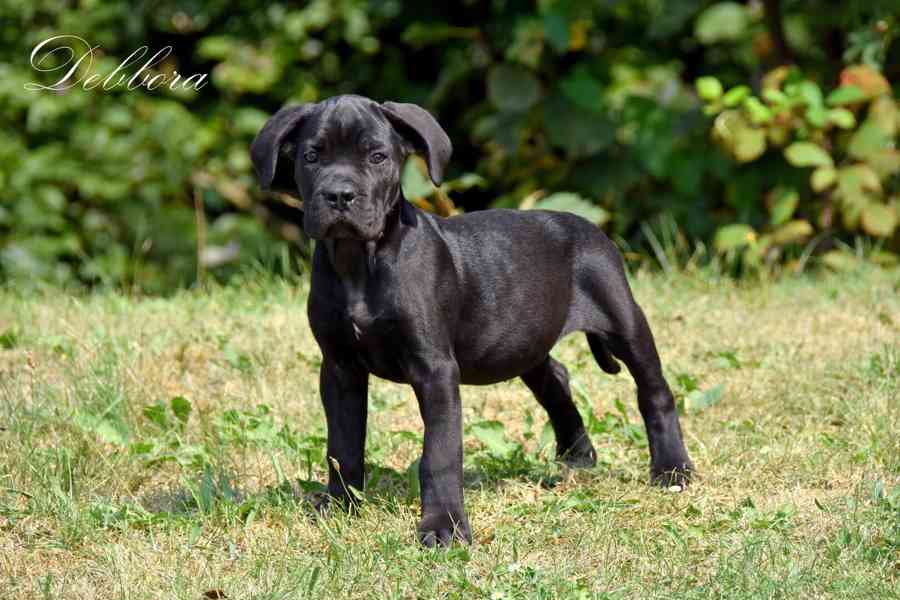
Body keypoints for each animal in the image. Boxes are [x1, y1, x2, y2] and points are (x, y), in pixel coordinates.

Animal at [250, 95, 692, 548]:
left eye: (377, 157)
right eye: (311, 156)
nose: (339, 195)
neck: (358, 262)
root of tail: (590, 227)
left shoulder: (435, 370)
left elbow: (440, 454)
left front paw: (444, 526)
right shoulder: (340, 369)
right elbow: (342, 445)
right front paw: (340, 505)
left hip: (623, 320)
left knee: (654, 390)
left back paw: (672, 470)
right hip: (523, 342)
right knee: (556, 379)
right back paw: (577, 456)